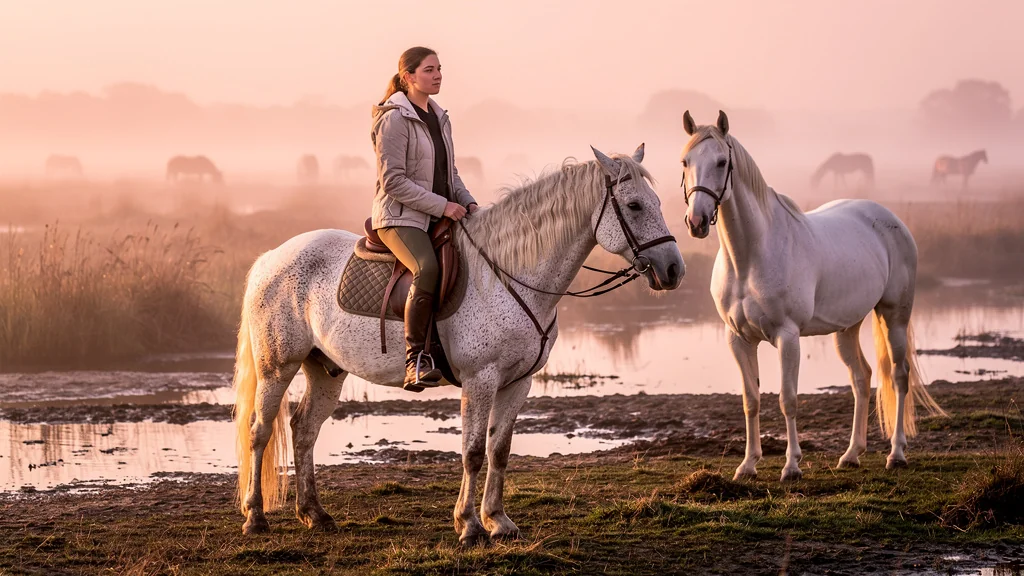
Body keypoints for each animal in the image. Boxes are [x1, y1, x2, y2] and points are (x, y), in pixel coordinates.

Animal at [232, 145, 684, 545]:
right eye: (635, 206)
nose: (673, 270)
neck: (509, 274)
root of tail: (272, 257)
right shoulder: (480, 380)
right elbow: (473, 452)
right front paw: (469, 525)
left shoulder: (518, 382)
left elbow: (499, 450)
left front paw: (499, 521)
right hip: (277, 367)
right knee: (260, 430)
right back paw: (255, 518)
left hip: (326, 370)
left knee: (304, 430)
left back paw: (315, 514)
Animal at [680, 110, 945, 483]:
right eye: (685, 162)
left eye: (721, 162)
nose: (697, 221)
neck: (750, 257)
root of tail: (891, 219)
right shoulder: (739, 339)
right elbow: (751, 400)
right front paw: (748, 465)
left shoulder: (787, 337)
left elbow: (788, 399)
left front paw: (791, 466)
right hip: (847, 327)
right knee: (861, 378)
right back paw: (851, 455)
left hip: (894, 316)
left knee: (899, 376)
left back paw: (896, 454)